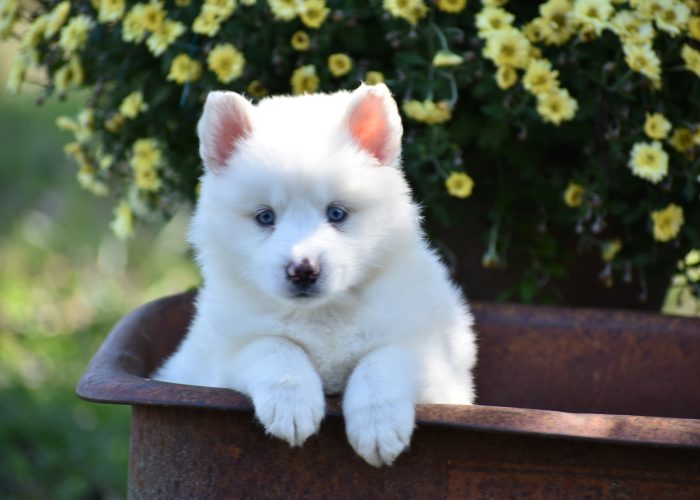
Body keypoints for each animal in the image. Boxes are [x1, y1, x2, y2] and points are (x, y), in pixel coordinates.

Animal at [154, 84, 476, 466]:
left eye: (336, 213)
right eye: (265, 217)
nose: (302, 271)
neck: (323, 314)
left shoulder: (434, 360)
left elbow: (383, 360)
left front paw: (378, 424)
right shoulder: (226, 355)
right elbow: (274, 346)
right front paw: (291, 404)